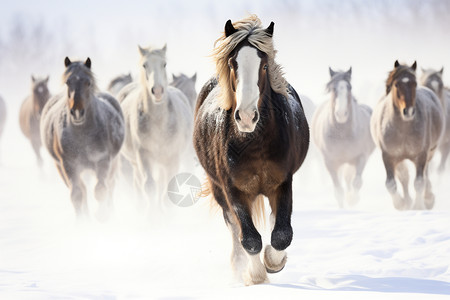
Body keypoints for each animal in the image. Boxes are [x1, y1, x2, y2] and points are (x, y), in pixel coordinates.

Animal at [40, 56, 125, 220]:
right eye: (68, 82)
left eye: (88, 82)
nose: (77, 112)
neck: (82, 134)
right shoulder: (69, 165)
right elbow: (77, 194)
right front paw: (83, 220)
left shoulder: (103, 161)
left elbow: (100, 189)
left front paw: (102, 215)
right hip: (62, 168)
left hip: (113, 162)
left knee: (110, 185)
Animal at [118, 44, 192, 213]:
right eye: (144, 65)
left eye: (164, 64)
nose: (157, 91)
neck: (159, 123)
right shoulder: (143, 155)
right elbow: (149, 187)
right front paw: (152, 216)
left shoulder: (172, 157)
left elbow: (168, 191)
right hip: (136, 162)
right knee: (139, 184)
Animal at [192, 15, 312, 284]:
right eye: (232, 63)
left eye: (264, 66)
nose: (246, 117)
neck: (253, 144)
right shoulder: (233, 189)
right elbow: (249, 238)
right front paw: (256, 276)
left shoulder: (282, 183)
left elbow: (281, 233)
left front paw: (274, 263)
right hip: (218, 189)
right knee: (234, 228)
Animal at [312, 67, 374, 207]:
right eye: (333, 89)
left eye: (349, 87)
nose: (341, 114)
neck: (342, 134)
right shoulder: (329, 162)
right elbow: (338, 191)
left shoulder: (361, 156)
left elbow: (356, 183)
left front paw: (353, 199)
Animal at [370, 60, 444, 211]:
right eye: (397, 85)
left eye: (414, 83)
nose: (408, 111)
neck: (403, 130)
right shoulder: (388, 156)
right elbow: (391, 184)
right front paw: (401, 204)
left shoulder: (421, 155)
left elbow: (419, 182)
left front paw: (419, 206)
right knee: (404, 177)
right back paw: (408, 200)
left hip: (430, 152)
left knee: (426, 174)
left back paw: (428, 198)